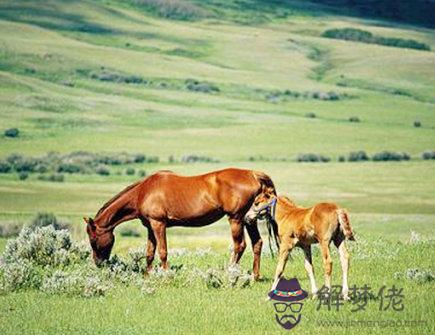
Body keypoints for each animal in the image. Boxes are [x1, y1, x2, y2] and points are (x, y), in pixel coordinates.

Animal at [83, 168, 278, 280]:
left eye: (93, 240)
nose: (98, 263)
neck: (143, 192)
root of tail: (254, 175)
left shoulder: (158, 224)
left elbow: (162, 252)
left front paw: (165, 275)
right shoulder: (150, 227)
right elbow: (149, 253)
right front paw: (148, 275)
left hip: (236, 219)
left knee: (240, 245)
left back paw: (230, 273)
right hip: (248, 219)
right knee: (257, 243)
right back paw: (255, 276)